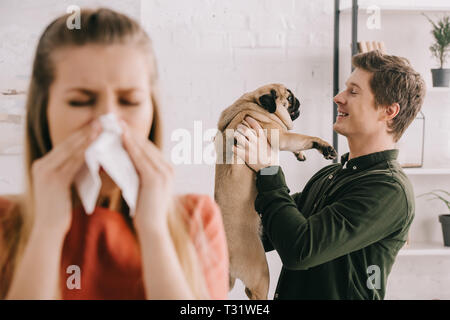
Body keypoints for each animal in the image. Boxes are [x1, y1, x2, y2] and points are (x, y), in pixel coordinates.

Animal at [214, 83, 338, 300]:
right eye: (288, 98)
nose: (298, 100)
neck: (252, 104)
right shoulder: (282, 136)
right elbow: (305, 137)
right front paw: (324, 147)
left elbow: (299, 143)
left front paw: (300, 154)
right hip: (260, 273)